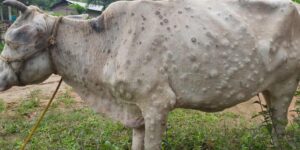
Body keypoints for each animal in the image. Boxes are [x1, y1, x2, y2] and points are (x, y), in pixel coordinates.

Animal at [0, 0, 300, 149]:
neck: (108, 42)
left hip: (286, 85)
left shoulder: (157, 104)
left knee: (280, 125)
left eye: (13, 40)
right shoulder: (135, 109)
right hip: (268, 88)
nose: (1, 77)